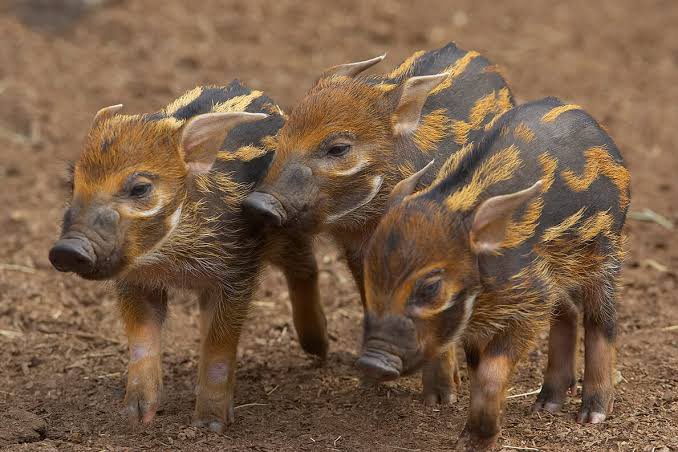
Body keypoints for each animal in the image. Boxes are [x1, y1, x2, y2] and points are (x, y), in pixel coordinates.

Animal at [48, 80, 328, 432]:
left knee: (306, 268)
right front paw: (136, 418)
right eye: (73, 184)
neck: (171, 262)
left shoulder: (237, 271)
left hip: (286, 232)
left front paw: (208, 426)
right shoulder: (136, 281)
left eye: (140, 189)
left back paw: (319, 349)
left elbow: (220, 344)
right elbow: (143, 338)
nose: (67, 250)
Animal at [243, 42, 514, 405]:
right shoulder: (359, 252)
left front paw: (442, 400)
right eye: (284, 134)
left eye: (338, 148)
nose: (259, 203)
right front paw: (368, 385)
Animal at [357, 97, 630, 450]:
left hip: (605, 252)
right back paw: (546, 405)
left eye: (430, 287)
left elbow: (491, 371)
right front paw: (468, 437)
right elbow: (478, 370)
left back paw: (592, 415)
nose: (371, 361)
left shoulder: (528, 303)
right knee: (568, 311)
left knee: (602, 322)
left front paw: (477, 442)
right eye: (370, 273)